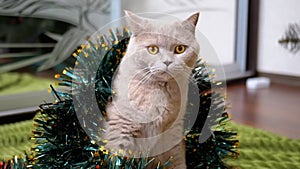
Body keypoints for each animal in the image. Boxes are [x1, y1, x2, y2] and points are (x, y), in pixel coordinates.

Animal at [104, 10, 200, 169]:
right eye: (153, 49)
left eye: (180, 49)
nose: (167, 62)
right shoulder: (121, 125)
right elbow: (118, 156)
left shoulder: (173, 130)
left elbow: (176, 159)